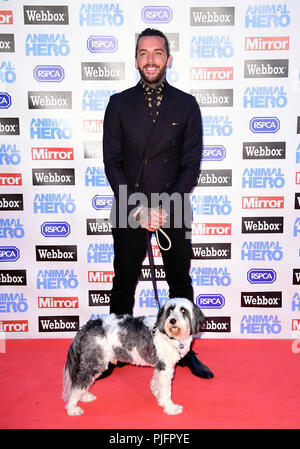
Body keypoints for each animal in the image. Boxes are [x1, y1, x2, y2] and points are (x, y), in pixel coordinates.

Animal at [62, 298, 205, 416]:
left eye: (183, 310)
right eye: (170, 310)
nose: (172, 320)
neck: (169, 335)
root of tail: (87, 326)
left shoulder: (160, 365)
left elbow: (156, 383)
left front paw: (159, 398)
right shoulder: (165, 367)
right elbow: (166, 390)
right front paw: (170, 407)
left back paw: (84, 396)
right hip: (95, 361)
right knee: (78, 383)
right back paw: (72, 408)